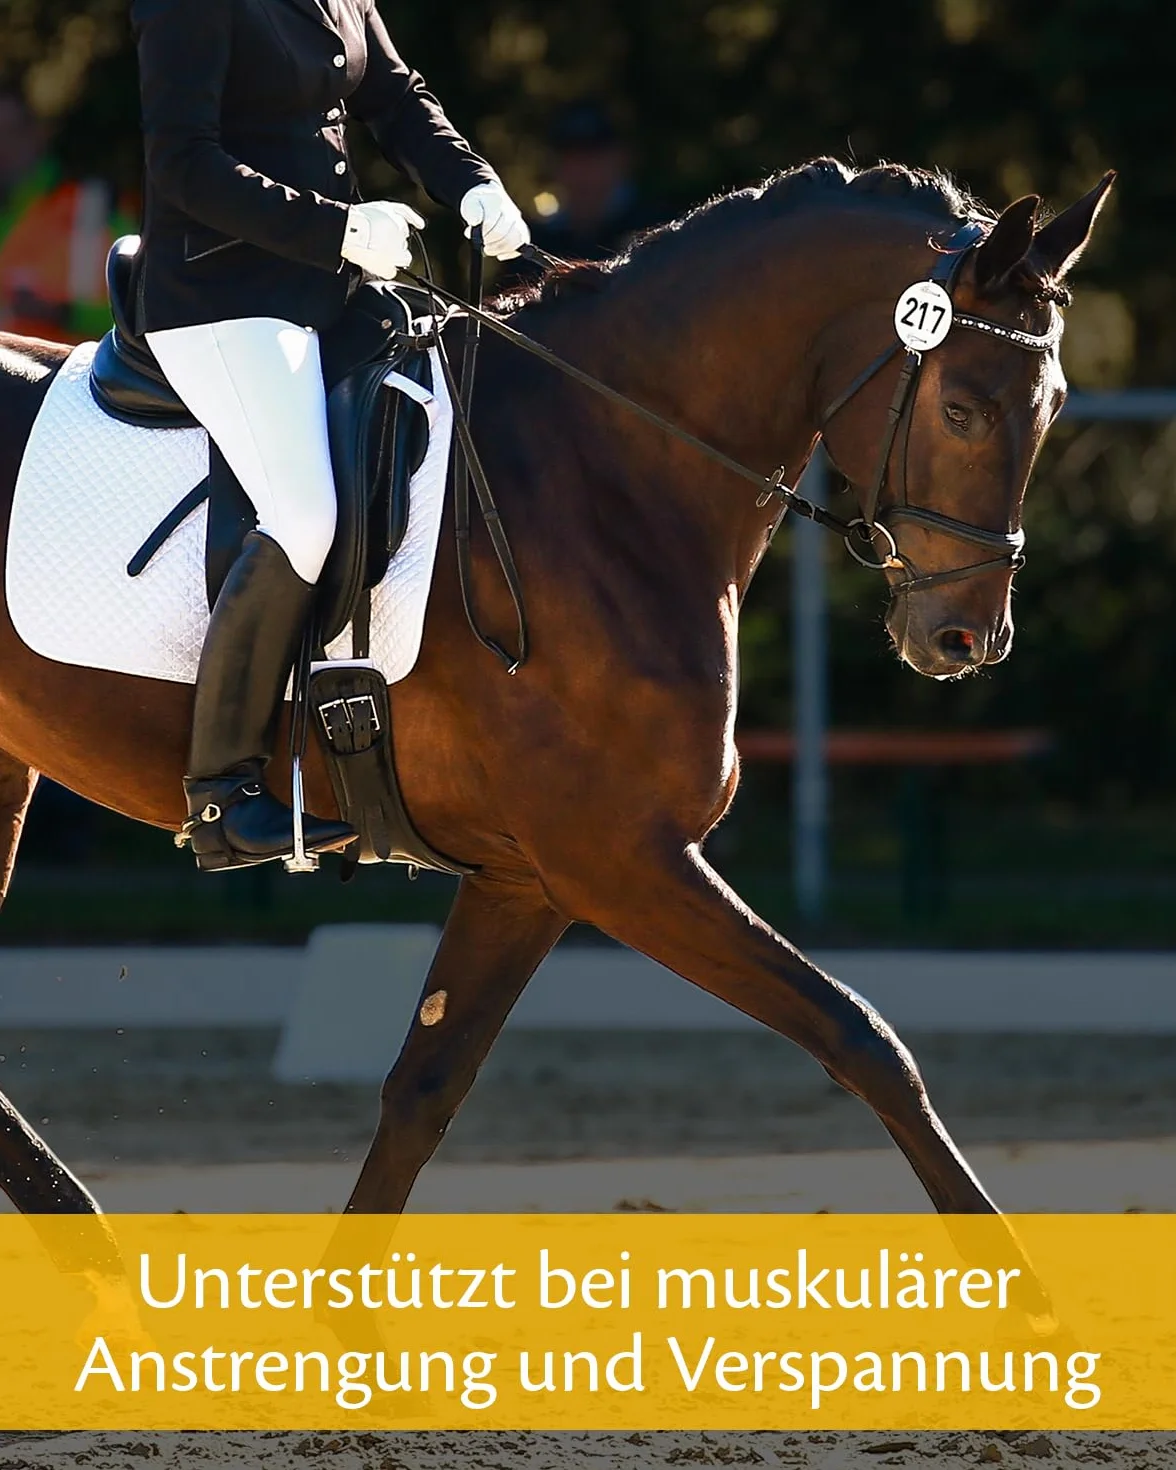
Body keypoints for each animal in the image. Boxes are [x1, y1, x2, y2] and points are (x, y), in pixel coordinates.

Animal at [0, 159, 1110, 1297]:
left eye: (1056, 404)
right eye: (965, 409)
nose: (967, 637)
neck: (608, 473)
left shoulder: (526, 879)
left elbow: (424, 1087)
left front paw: (339, 1319)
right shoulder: (619, 859)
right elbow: (862, 1036)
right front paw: (1027, 1305)